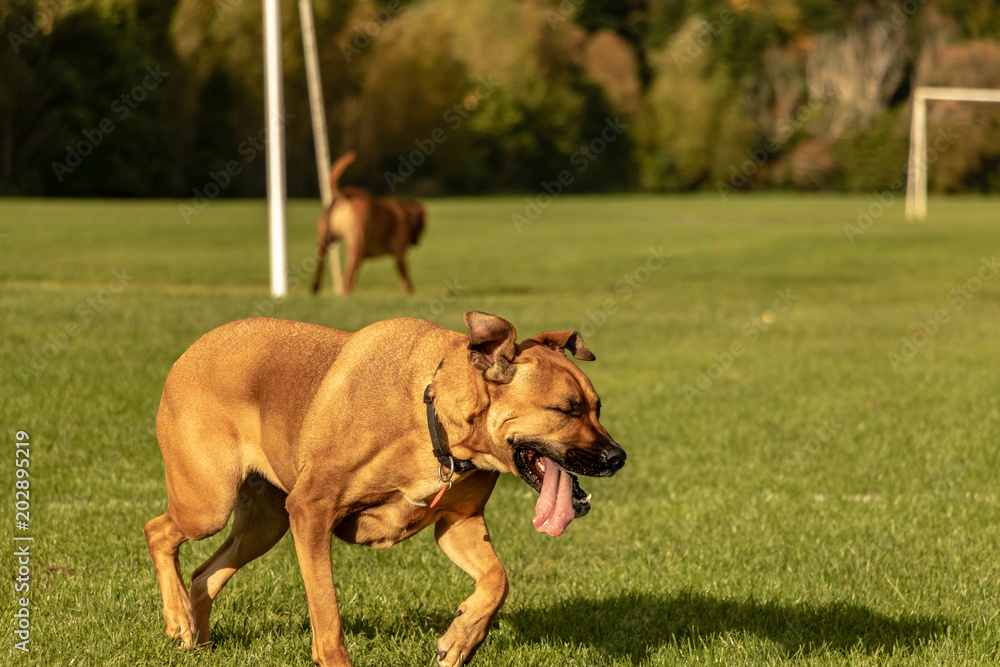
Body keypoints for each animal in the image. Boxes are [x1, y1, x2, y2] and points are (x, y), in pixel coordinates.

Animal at [145, 314, 624, 667]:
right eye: (566, 410)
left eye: (597, 408)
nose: (617, 457)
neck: (433, 418)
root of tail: (192, 350)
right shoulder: (311, 511)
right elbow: (327, 613)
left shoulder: (458, 524)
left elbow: (497, 580)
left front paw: (461, 638)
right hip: (209, 504)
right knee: (158, 532)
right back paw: (178, 619)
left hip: (266, 522)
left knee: (203, 574)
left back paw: (196, 639)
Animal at [310, 154, 424, 298]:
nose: (417, 242)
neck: (407, 214)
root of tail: (344, 198)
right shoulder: (399, 255)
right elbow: (406, 280)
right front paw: (411, 294)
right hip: (357, 245)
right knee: (345, 280)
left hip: (326, 244)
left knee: (322, 273)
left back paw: (317, 290)